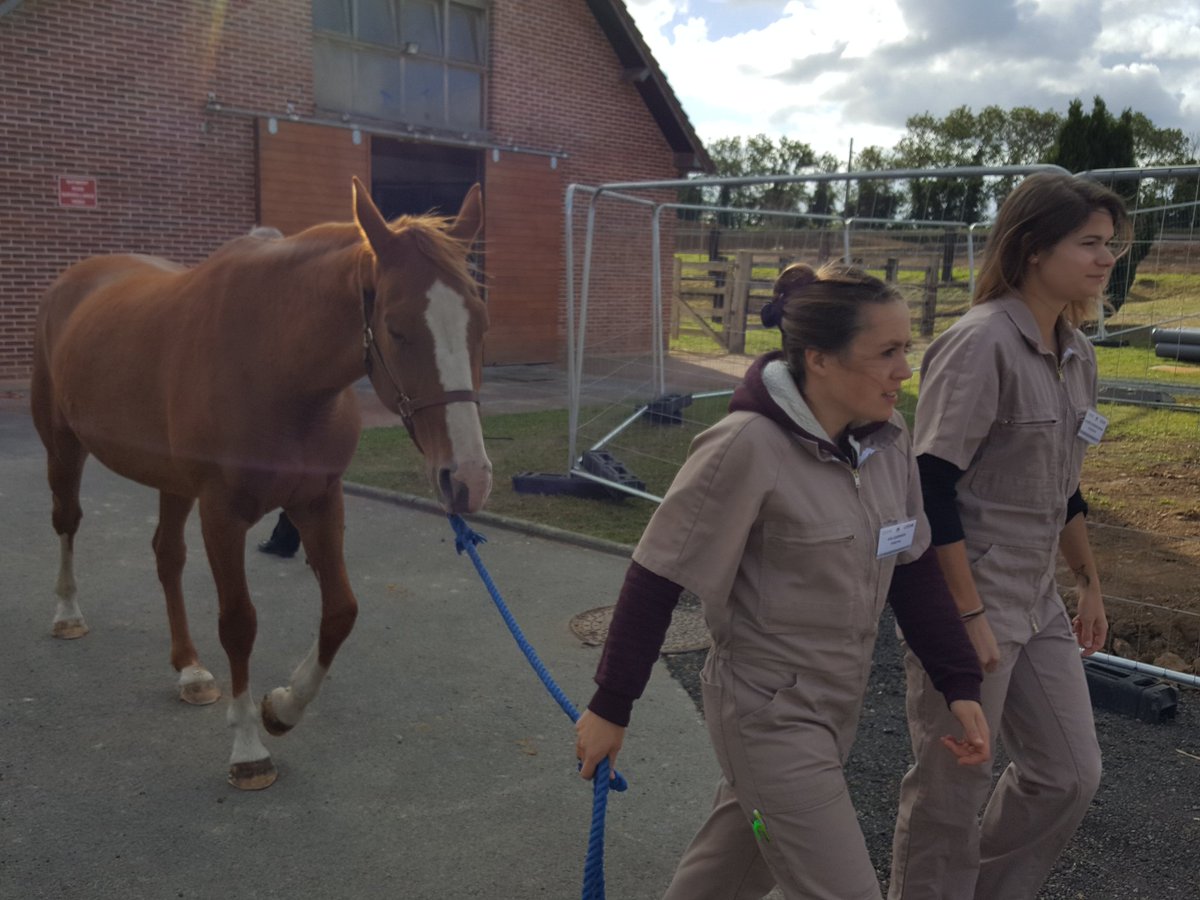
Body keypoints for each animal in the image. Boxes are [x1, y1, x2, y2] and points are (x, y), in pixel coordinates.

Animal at [30, 177, 492, 789]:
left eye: (480, 323)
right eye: (396, 328)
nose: (467, 478)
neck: (275, 367)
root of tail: (72, 281)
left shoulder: (319, 500)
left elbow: (341, 611)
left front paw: (283, 708)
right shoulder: (222, 513)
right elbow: (239, 623)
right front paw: (249, 746)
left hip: (172, 481)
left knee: (166, 556)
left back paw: (191, 671)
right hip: (63, 446)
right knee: (67, 522)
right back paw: (68, 615)